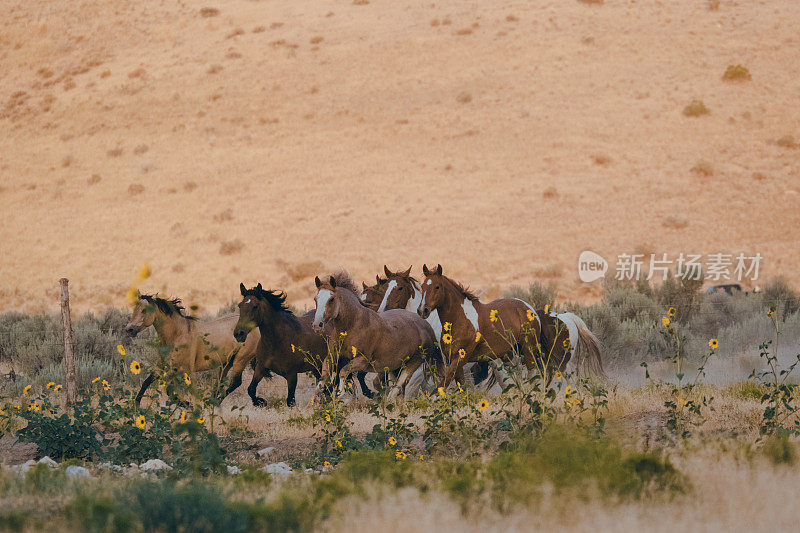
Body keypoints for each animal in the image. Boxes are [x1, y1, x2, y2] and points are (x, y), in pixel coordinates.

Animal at [125, 290, 260, 404]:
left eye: (144, 310)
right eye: (134, 309)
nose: (129, 329)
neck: (177, 334)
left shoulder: (182, 369)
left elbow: (170, 392)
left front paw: (188, 405)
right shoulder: (161, 366)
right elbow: (146, 382)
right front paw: (135, 406)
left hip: (241, 359)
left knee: (235, 382)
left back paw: (213, 403)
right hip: (227, 363)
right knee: (221, 382)